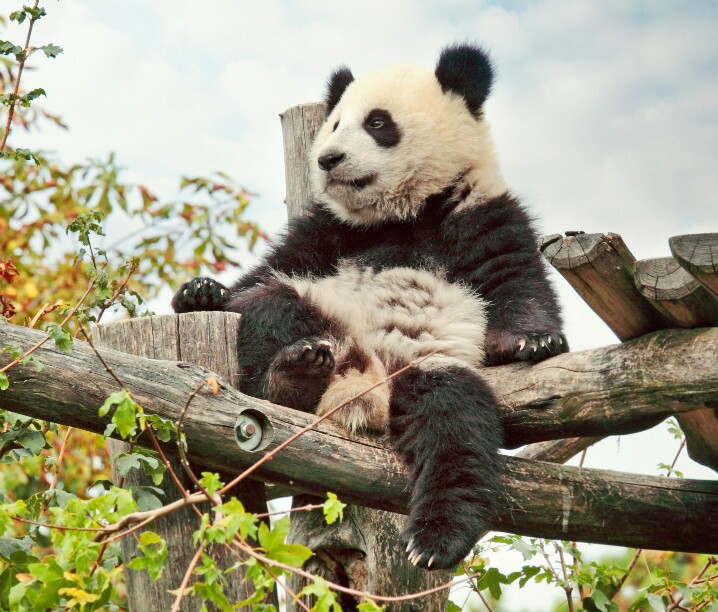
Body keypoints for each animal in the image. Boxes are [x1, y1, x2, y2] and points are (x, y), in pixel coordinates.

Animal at [172, 43, 567, 570]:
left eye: (378, 122)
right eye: (335, 123)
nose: (328, 158)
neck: (403, 213)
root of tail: (366, 380)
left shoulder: (479, 209)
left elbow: (514, 276)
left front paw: (535, 339)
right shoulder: (327, 230)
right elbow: (272, 268)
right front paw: (200, 291)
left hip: (427, 368)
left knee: (455, 425)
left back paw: (436, 538)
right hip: (318, 313)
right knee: (272, 306)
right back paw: (294, 372)